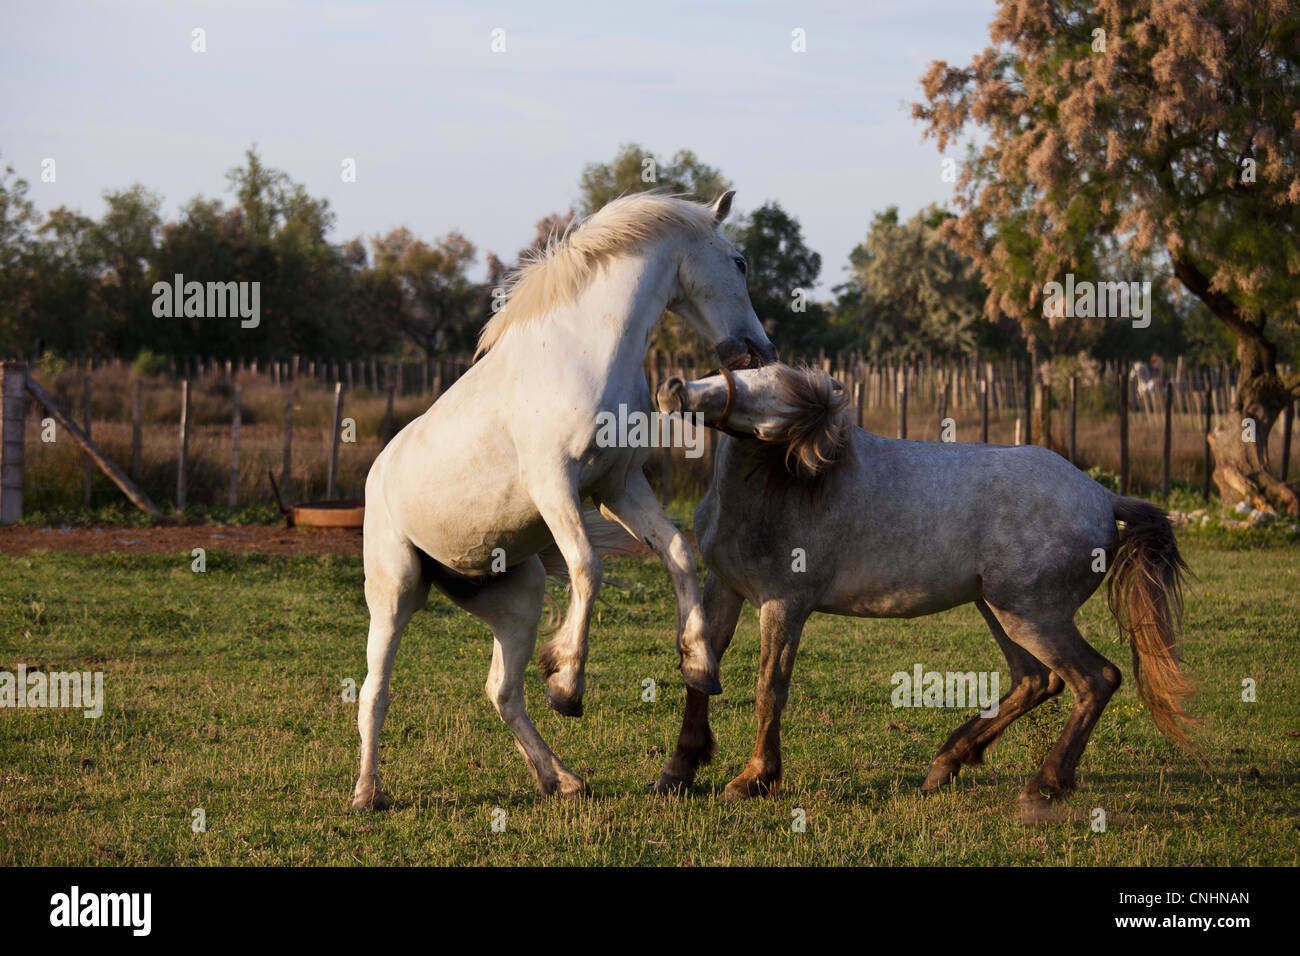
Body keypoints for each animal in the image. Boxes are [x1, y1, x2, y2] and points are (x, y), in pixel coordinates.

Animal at [352, 192, 776, 809]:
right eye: (739, 262)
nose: (759, 351)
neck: (584, 354)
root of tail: (377, 472)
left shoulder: (618, 486)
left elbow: (676, 552)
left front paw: (698, 663)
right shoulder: (554, 485)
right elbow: (587, 567)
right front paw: (568, 683)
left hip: (515, 602)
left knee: (502, 692)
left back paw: (561, 779)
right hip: (396, 592)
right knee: (374, 691)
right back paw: (368, 793)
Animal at [652, 363, 1199, 808]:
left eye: (778, 413)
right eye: (753, 371)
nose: (672, 389)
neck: (783, 488)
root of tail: (1103, 497)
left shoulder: (783, 605)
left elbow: (770, 689)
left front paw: (753, 780)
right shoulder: (724, 588)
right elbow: (698, 668)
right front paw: (677, 772)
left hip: (1032, 615)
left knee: (1095, 679)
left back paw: (1042, 786)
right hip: (999, 610)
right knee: (1036, 680)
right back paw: (948, 762)